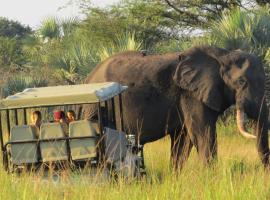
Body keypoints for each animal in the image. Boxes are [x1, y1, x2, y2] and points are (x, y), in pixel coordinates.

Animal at [83, 46, 268, 169]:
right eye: (242, 82)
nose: (265, 175)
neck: (222, 55)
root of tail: (88, 77)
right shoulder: (191, 95)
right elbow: (203, 134)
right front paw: (212, 179)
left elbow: (183, 140)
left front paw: (176, 179)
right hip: (95, 108)